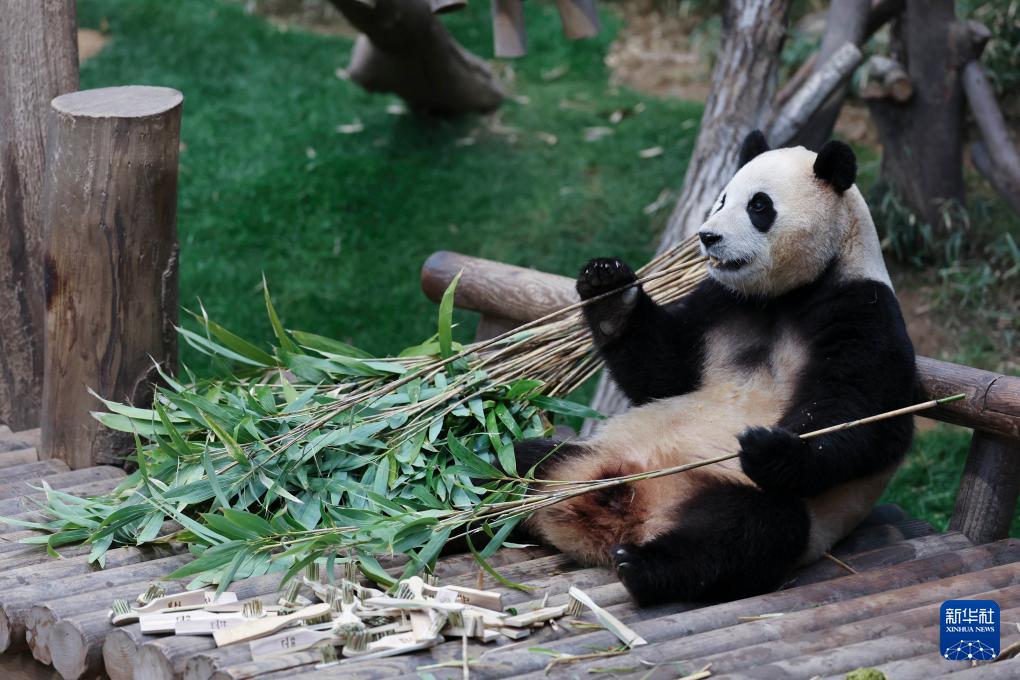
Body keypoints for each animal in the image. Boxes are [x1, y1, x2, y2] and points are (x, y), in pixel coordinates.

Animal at [514, 130, 922, 603]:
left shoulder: (862, 309)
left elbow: (866, 415)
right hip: (587, 455)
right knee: (516, 462)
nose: (708, 237)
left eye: (759, 206)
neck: (785, 295)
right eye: (722, 199)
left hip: (744, 496)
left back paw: (644, 566)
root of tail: (629, 512)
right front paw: (607, 285)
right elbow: (662, 371)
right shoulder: (719, 302)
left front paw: (773, 447)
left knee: (747, 532)